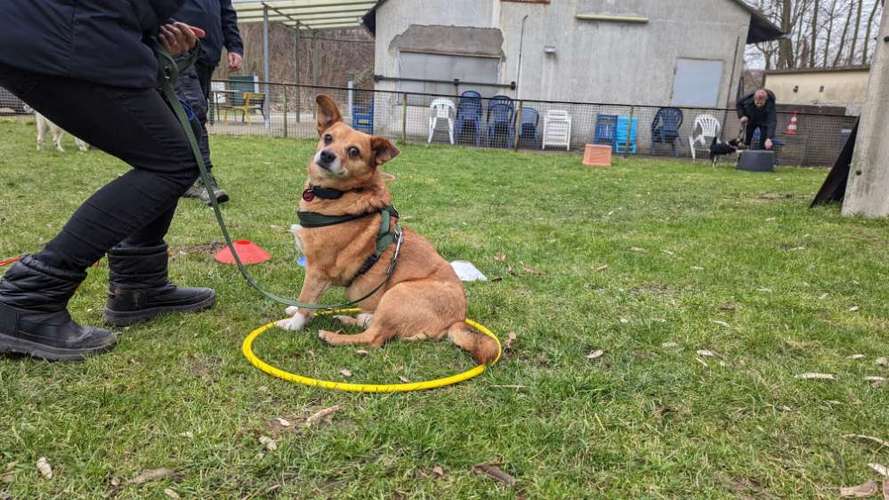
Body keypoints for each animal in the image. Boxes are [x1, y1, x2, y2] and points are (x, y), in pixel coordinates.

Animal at [276, 94, 500, 364]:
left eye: (354, 151)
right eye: (328, 138)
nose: (326, 155)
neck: (340, 194)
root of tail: (457, 321)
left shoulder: (318, 271)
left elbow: (305, 300)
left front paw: (293, 323)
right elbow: (309, 301)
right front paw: (294, 310)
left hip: (397, 292)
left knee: (375, 338)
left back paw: (333, 336)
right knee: (373, 327)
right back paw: (354, 318)